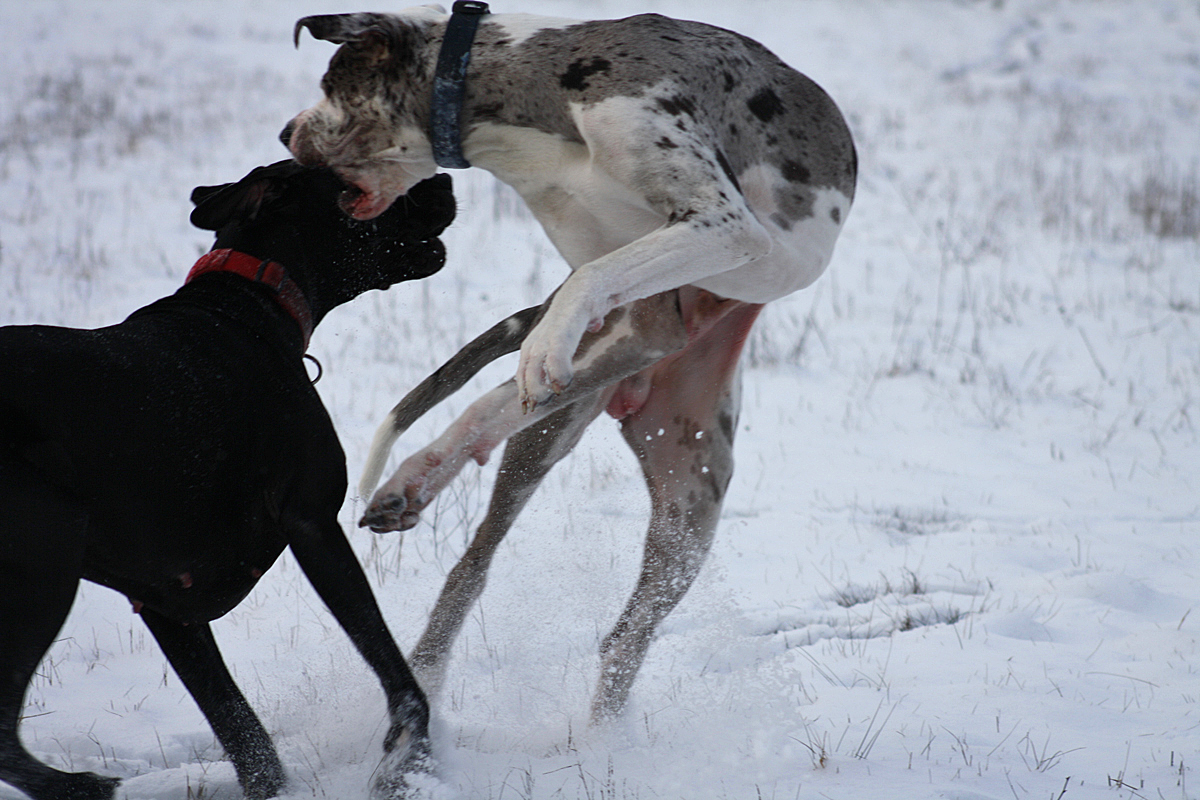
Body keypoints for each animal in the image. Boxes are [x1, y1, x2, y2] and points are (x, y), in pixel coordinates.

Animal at [0, 159, 453, 796]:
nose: (446, 182)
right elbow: (389, 662)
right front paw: (412, 754)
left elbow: (239, 726)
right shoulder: (313, 522)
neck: (249, 301)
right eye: (360, 178)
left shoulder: (165, 599)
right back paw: (79, 784)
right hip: (42, 571)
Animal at [284, 1, 859, 724]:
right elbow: (587, 285)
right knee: (481, 547)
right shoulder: (646, 311)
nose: (286, 131)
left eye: (331, 84)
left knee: (624, 637)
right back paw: (422, 483)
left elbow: (589, 277)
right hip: (570, 435)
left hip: (688, 503)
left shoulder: (719, 227)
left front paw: (541, 350)